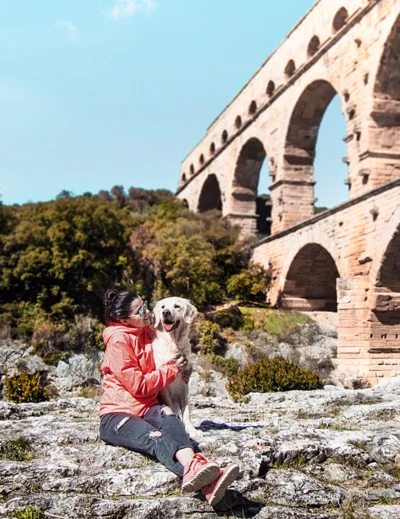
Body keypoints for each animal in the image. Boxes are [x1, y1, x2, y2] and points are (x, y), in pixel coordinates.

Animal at [151, 298, 203, 440]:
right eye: (163, 307)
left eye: (177, 306)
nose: (165, 312)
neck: (173, 343)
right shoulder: (164, 387)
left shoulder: (184, 384)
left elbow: (186, 412)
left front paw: (192, 430)